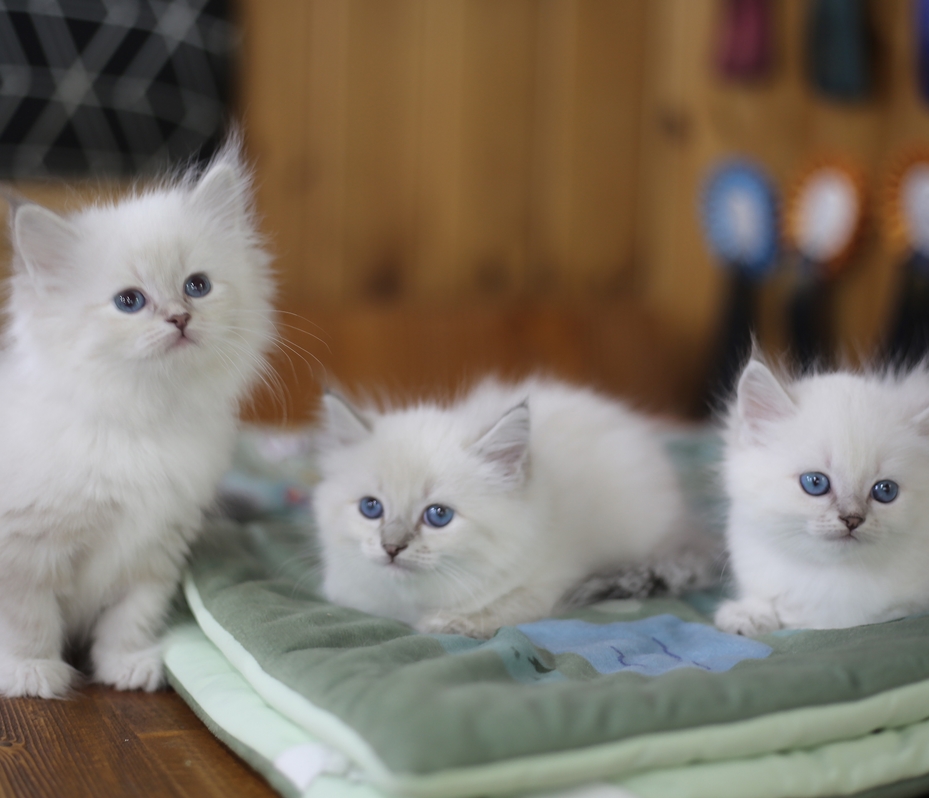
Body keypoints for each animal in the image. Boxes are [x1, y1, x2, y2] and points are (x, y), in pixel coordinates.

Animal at [0, 142, 275, 697]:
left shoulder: (156, 548)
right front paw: (32, 673)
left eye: (197, 286)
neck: (142, 421)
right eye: (130, 301)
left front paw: (127, 666)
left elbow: (131, 618)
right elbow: (29, 619)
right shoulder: (26, 549)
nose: (180, 318)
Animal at [313, 377, 711, 638]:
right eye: (371, 508)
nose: (391, 547)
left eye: (438, 516)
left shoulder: (550, 583)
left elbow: (499, 610)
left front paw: (445, 623)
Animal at [715, 357, 929, 636]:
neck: (833, 578)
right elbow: (764, 603)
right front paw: (746, 617)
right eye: (815, 483)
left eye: (885, 491)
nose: (852, 519)